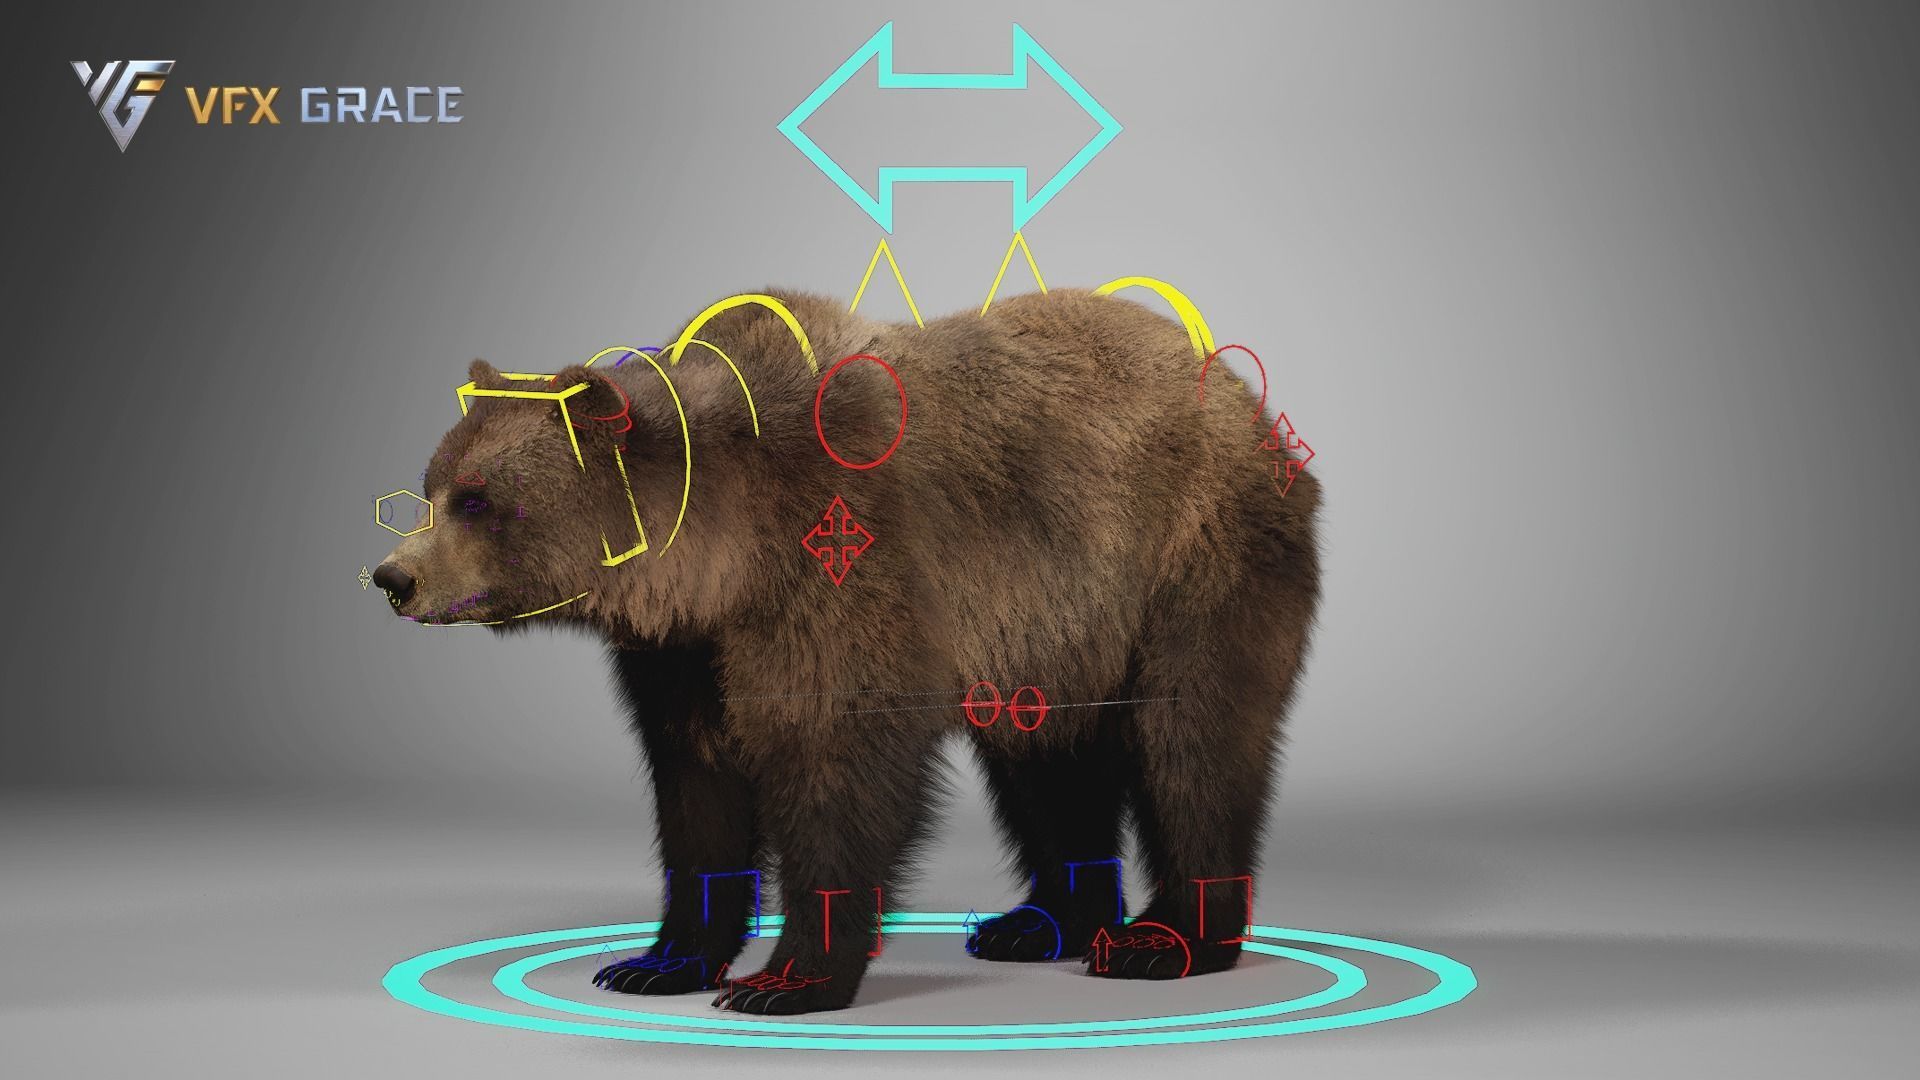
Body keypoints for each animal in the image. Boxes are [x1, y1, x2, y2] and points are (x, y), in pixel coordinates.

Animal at [372, 286, 1322, 1014]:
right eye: (431, 487)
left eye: (478, 500)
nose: (393, 577)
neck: (721, 555)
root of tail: (1245, 402)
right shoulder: (687, 650)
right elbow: (696, 790)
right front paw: (655, 962)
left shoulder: (838, 568)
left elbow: (835, 765)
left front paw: (785, 980)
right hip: (1055, 629)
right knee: (1049, 761)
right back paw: (1038, 924)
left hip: (1188, 562)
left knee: (1190, 741)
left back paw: (1165, 942)